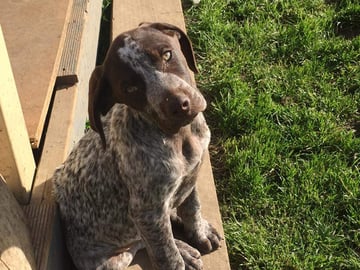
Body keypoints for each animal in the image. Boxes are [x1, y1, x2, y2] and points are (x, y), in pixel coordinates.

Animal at [52, 22, 222, 268]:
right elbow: (166, 255)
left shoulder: (191, 174)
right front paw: (180, 255)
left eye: (167, 54)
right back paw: (183, 250)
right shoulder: (147, 211)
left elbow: (193, 207)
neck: (180, 136)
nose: (179, 105)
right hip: (114, 258)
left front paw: (199, 232)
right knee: (142, 243)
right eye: (131, 88)